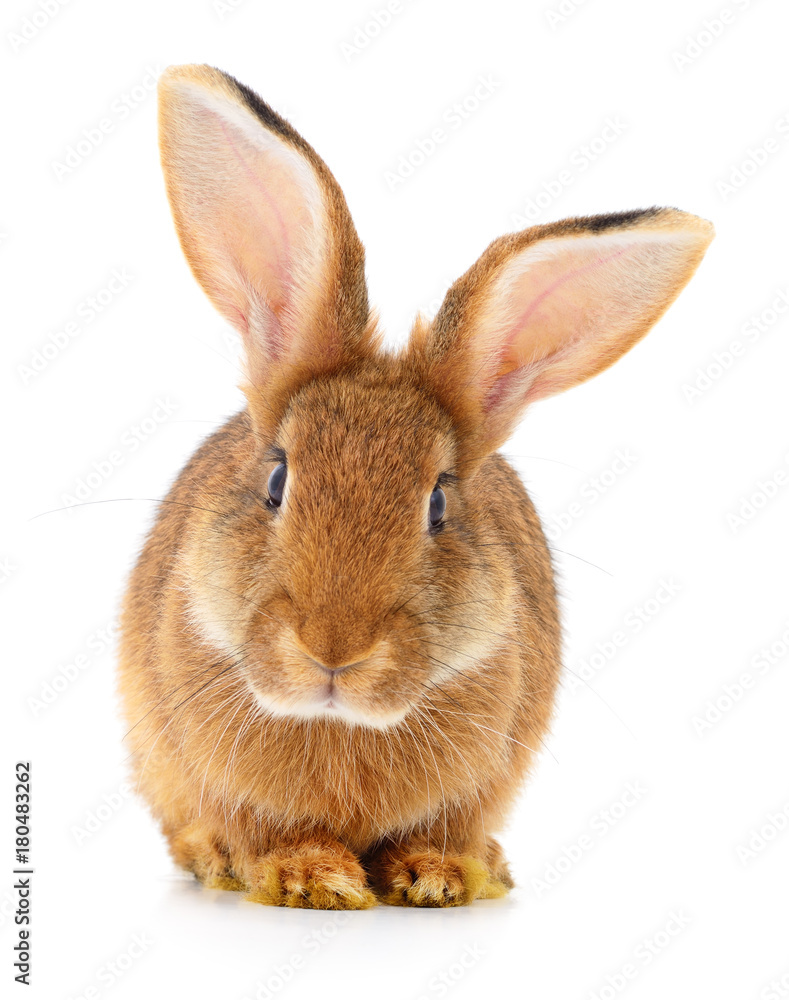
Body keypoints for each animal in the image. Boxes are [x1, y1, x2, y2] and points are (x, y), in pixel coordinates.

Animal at [118, 63, 714, 910]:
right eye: (277, 478)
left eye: (437, 503)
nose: (333, 650)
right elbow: (262, 827)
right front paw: (311, 877)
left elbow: (438, 831)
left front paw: (437, 876)